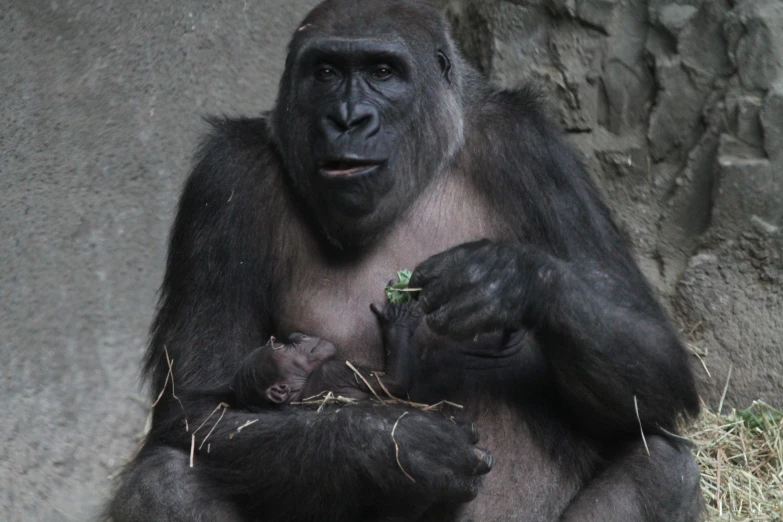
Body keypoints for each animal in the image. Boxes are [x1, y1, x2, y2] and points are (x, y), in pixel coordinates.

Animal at [230, 300, 422, 406]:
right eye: (284, 348)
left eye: (282, 343)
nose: (296, 336)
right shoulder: (334, 371)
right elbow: (395, 382)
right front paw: (398, 321)